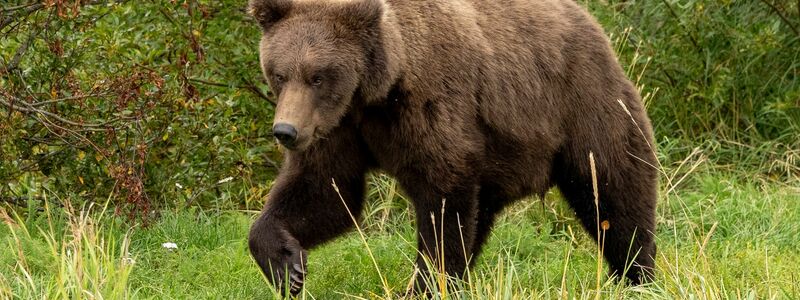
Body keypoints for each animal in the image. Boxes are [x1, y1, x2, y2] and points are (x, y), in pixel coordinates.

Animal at [248, 0, 656, 296]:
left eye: (317, 76)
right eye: (279, 73)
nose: (285, 131)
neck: (376, 94)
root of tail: (592, 23)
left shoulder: (431, 105)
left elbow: (442, 204)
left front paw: (425, 285)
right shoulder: (339, 127)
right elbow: (325, 192)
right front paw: (287, 268)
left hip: (581, 105)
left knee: (614, 189)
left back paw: (638, 274)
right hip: (501, 157)